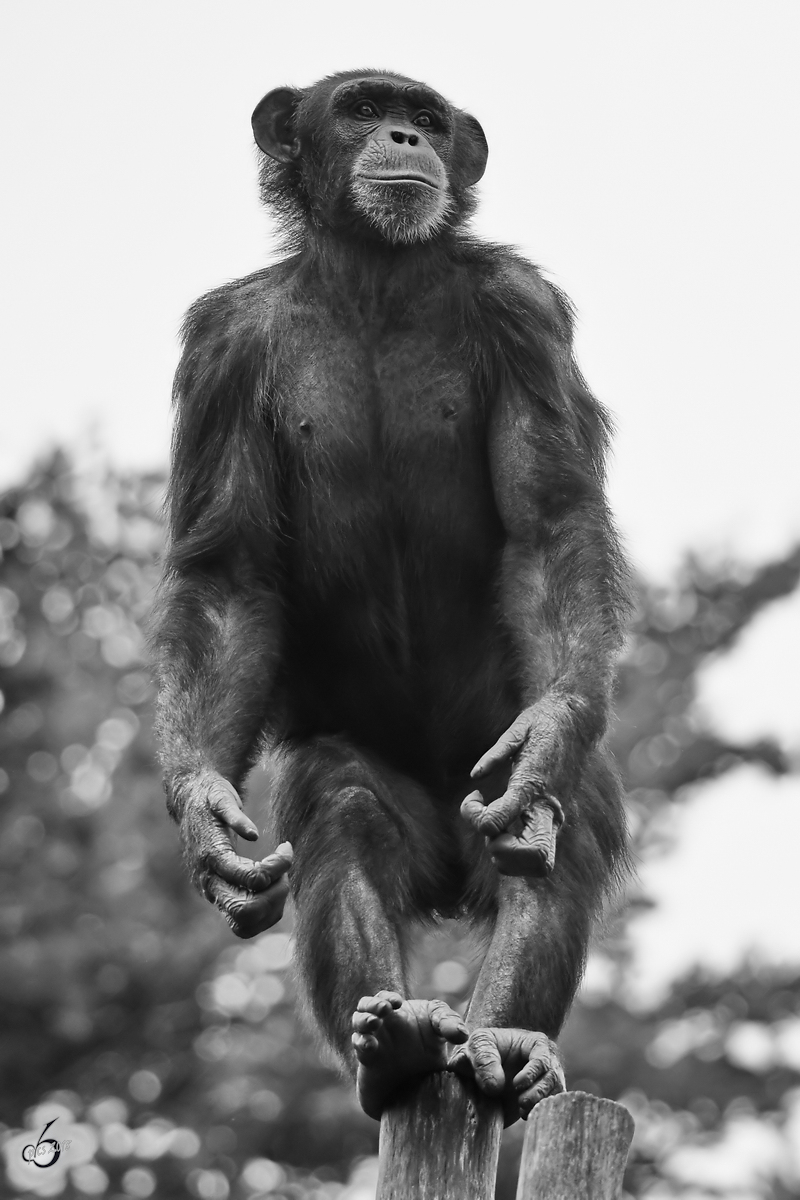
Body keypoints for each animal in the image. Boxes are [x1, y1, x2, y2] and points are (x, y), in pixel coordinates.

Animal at [153, 70, 633, 1118]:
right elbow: (229, 576)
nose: (408, 136)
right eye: (364, 109)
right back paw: (399, 1042)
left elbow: (549, 521)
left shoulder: (525, 315)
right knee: (341, 805)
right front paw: (205, 818)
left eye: (424, 114)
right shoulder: (219, 352)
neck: (373, 276)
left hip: (480, 800)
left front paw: (547, 741)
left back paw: (503, 1036)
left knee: (545, 824)